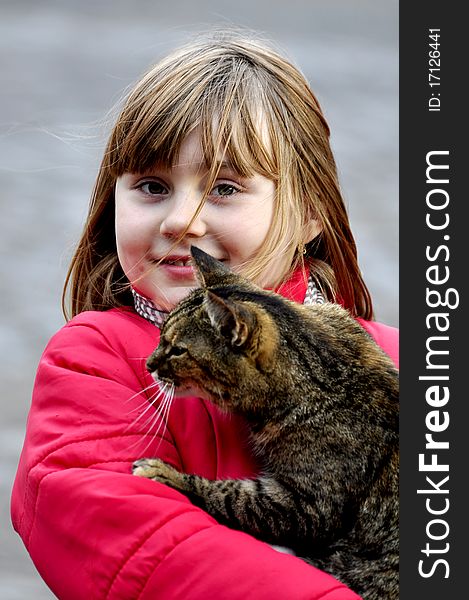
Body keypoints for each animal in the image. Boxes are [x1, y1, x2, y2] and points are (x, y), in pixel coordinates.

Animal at [133, 245, 398, 600]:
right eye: (161, 337)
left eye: (177, 350)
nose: (149, 364)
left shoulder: (308, 504)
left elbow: (231, 495)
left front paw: (167, 474)